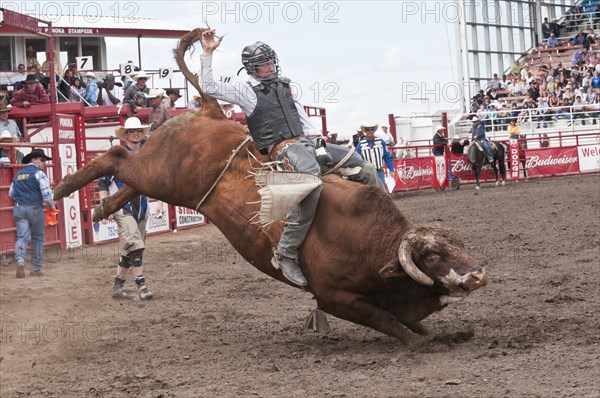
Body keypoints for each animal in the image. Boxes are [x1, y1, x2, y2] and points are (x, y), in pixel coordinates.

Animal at [50, 30, 488, 342]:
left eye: (458, 245)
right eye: (432, 257)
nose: (478, 275)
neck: (371, 240)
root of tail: (210, 109)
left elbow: (410, 322)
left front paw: (444, 334)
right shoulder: (337, 298)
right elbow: (393, 325)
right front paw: (424, 342)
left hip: (162, 180)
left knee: (127, 182)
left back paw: (99, 208)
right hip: (162, 173)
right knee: (116, 157)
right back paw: (61, 189)